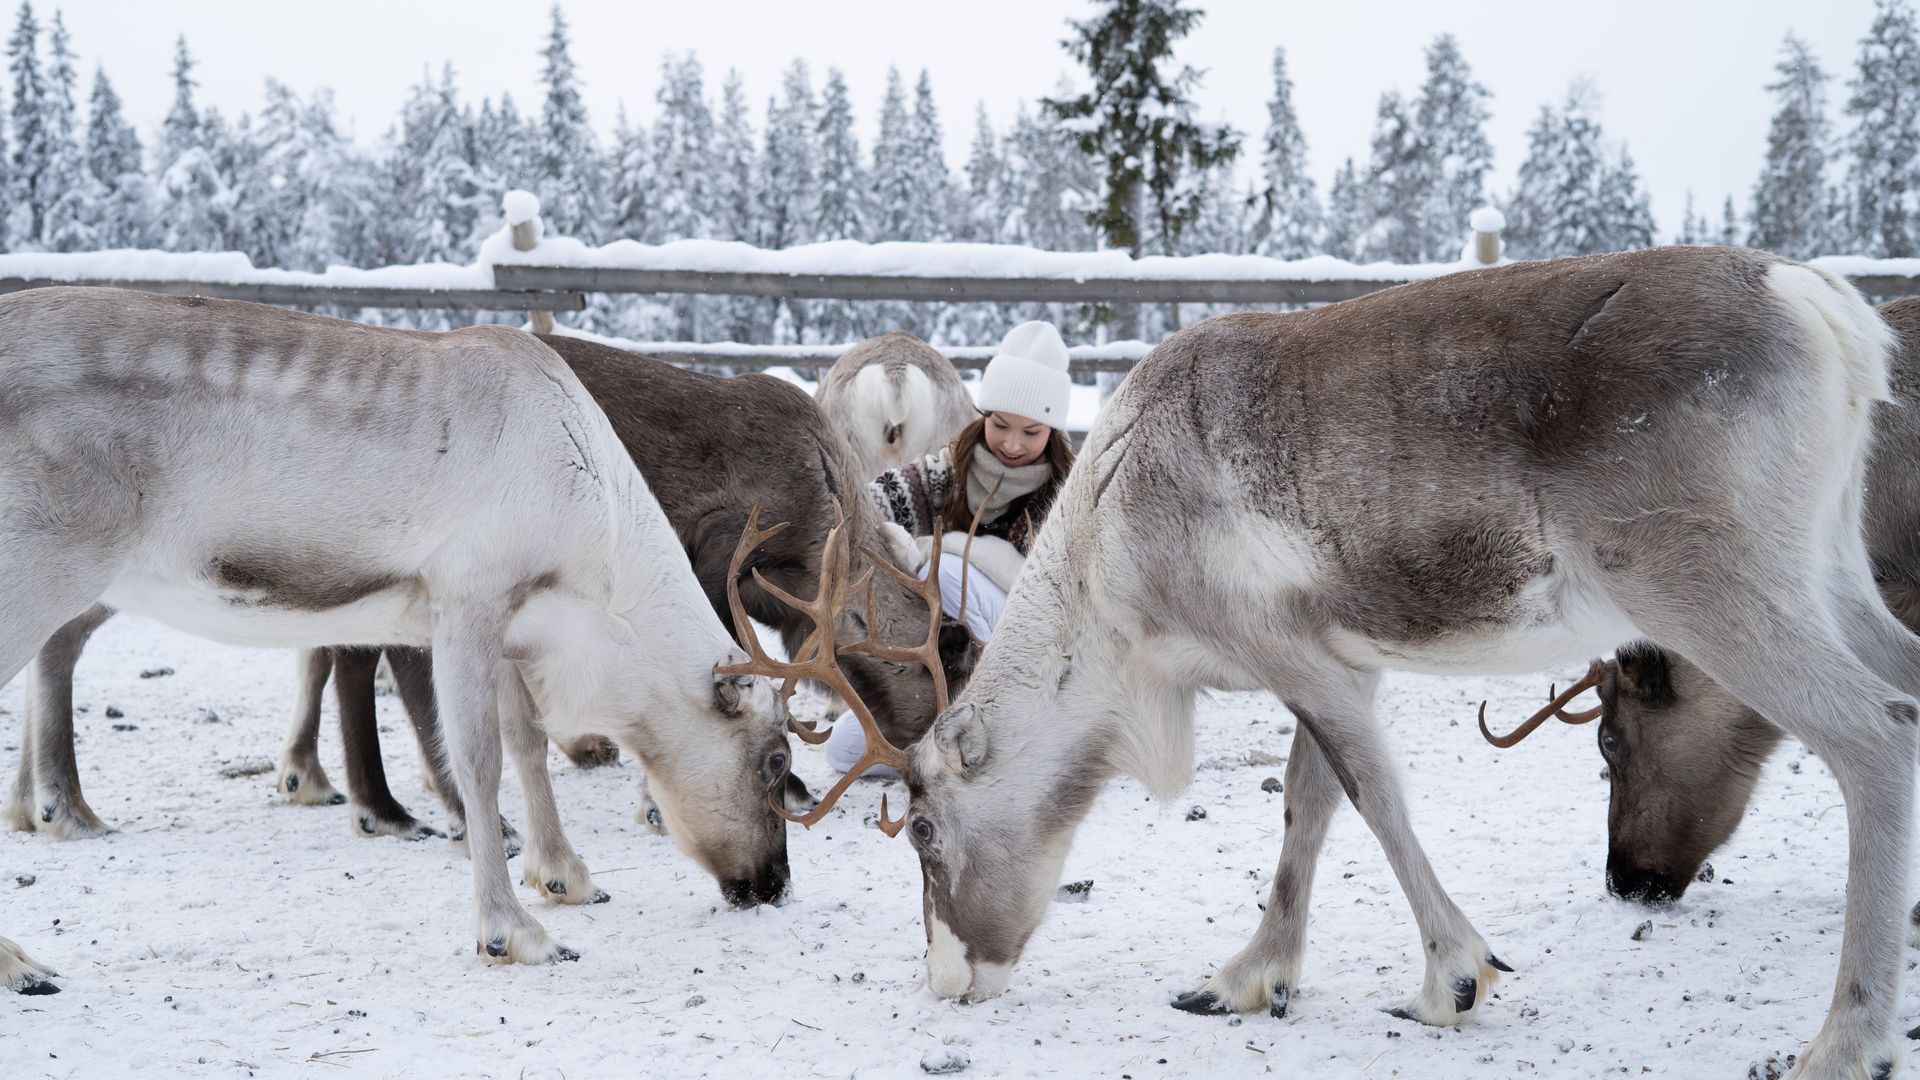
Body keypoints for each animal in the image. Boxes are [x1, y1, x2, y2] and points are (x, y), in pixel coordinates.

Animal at [0, 286, 795, 968]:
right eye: (775, 761)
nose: (776, 884)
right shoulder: (467, 601)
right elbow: (479, 761)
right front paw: (511, 931)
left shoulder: (515, 624)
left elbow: (529, 744)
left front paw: (564, 875)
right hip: (45, 567)